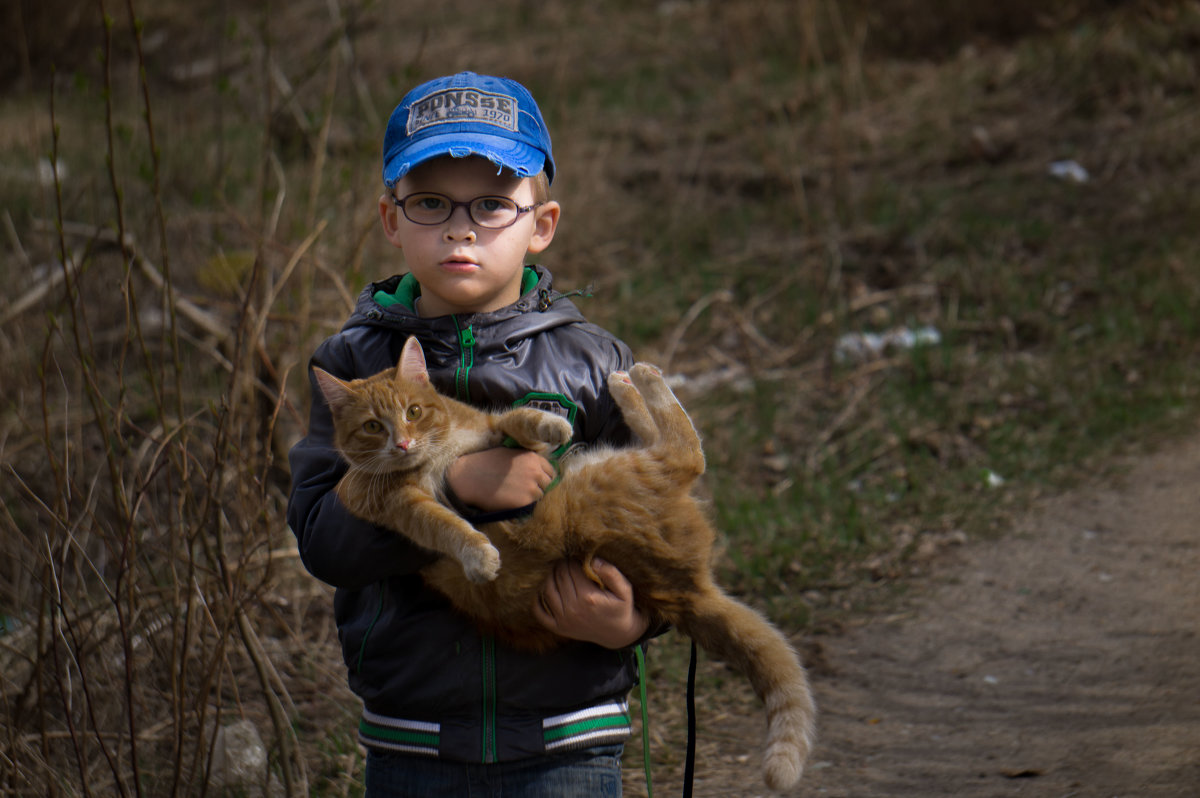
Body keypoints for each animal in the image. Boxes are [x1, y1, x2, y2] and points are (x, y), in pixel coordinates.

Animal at [312, 336, 816, 792]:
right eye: (373, 426)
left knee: (686, 451)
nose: (402, 444)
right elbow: (445, 524)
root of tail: (686, 588)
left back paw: (632, 380)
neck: (439, 450)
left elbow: (516, 418)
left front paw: (550, 423)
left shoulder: (489, 428)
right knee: (685, 453)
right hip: (606, 480)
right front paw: (479, 553)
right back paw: (637, 380)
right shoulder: (394, 503)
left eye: (413, 411)